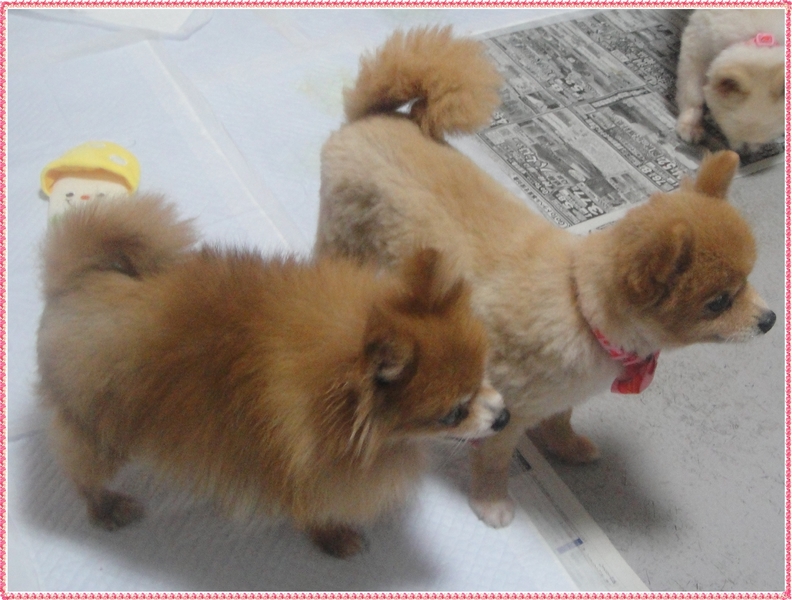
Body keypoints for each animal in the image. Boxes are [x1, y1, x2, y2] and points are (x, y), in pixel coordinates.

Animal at [36, 194, 509, 558]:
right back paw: (106, 508)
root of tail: (76, 281)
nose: (504, 416)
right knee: (83, 474)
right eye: (453, 413)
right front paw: (334, 538)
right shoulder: (304, 471)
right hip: (99, 431)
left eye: (486, 376)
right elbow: (312, 510)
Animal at [315, 26, 776, 528]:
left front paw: (567, 447)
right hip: (344, 240)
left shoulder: (560, 396)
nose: (770, 319)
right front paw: (491, 502)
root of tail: (373, 116)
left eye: (750, 280)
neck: (581, 309)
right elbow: (494, 462)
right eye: (719, 303)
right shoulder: (503, 412)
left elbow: (560, 418)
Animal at [676, 9, 785, 151]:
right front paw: (691, 125)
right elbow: (693, 95)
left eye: (760, 141)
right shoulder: (696, 41)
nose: (744, 153)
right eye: (730, 133)